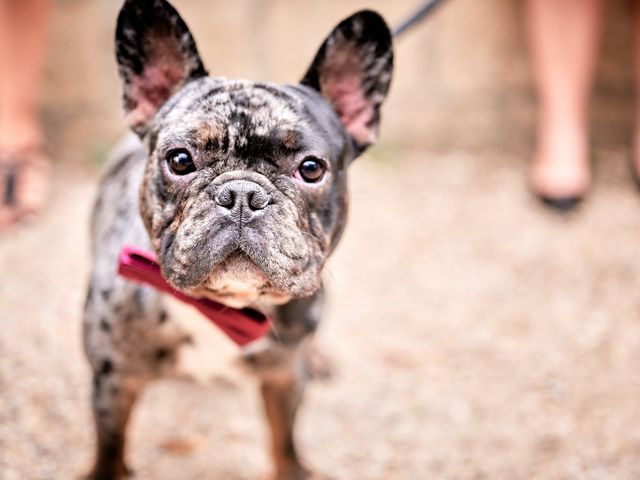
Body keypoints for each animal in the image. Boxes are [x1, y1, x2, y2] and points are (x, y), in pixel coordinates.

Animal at [84, 1, 396, 478]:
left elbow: (285, 444)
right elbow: (110, 450)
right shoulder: (114, 382)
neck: (222, 309)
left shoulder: (284, 380)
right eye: (179, 160)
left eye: (311, 169)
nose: (243, 195)